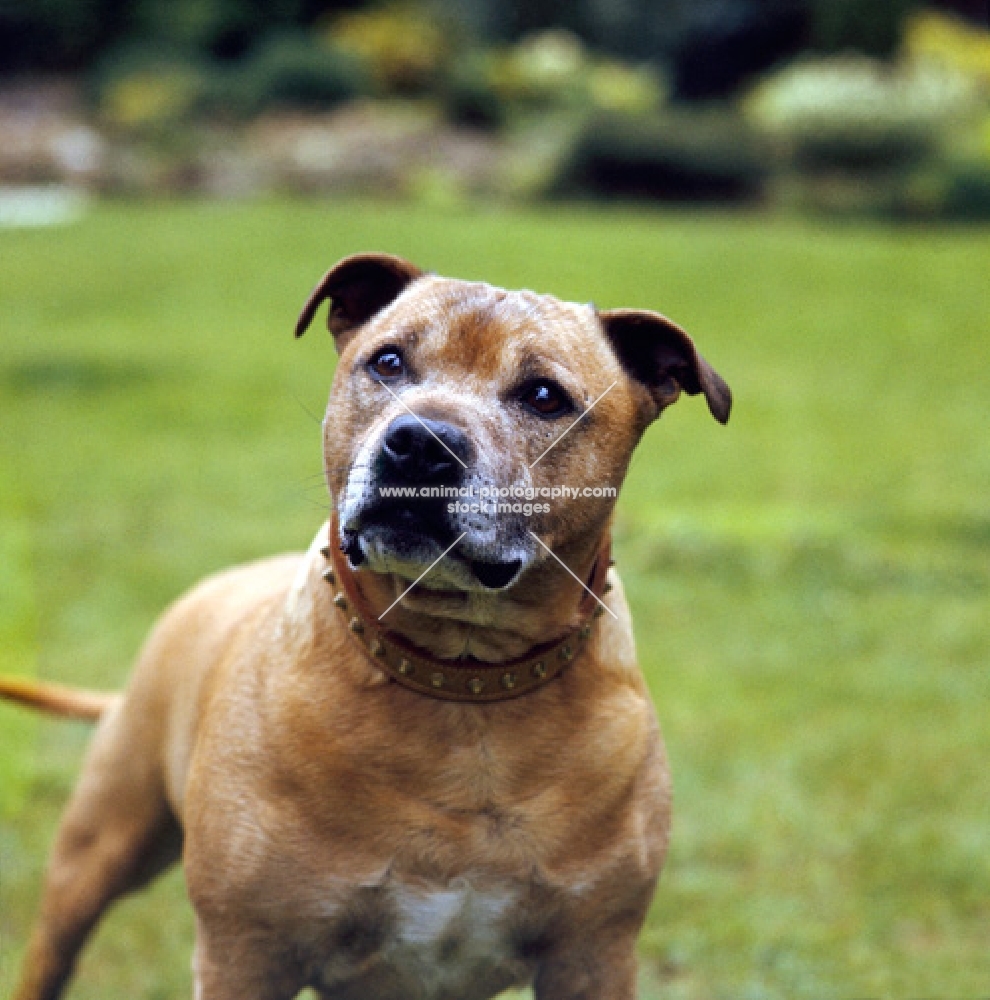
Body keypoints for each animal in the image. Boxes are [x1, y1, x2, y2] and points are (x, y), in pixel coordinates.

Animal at [0, 256, 728, 1000]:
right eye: (388, 361)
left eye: (545, 396)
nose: (420, 443)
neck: (463, 679)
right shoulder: (245, 952)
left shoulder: (592, 957)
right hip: (94, 855)